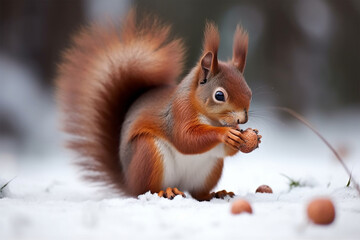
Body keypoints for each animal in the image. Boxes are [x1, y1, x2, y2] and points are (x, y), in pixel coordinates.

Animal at [57, 11, 262, 202]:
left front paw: (252, 137)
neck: (212, 119)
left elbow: (224, 149)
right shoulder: (179, 112)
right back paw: (165, 192)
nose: (243, 119)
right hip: (148, 154)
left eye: (250, 92)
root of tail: (128, 181)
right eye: (219, 95)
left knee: (197, 192)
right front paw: (225, 134)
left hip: (210, 169)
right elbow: (186, 138)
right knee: (145, 190)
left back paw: (216, 194)